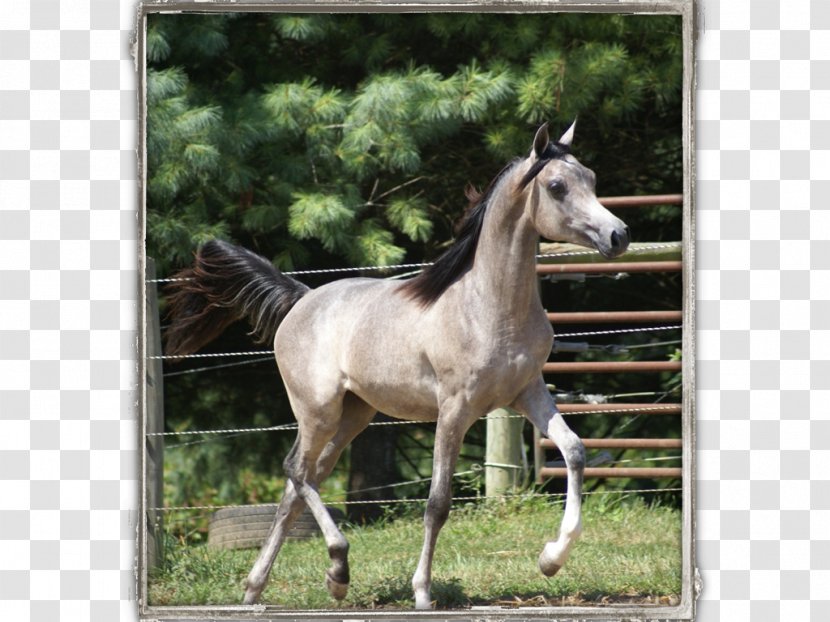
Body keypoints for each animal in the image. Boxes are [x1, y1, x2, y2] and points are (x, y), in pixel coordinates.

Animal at [162, 122, 632, 608]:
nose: (619, 235)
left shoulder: (528, 392)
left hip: (354, 414)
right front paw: (422, 591)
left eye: (592, 178)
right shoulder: (455, 409)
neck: (488, 306)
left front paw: (551, 559)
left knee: (301, 483)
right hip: (317, 410)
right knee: (296, 471)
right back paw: (336, 568)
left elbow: (574, 451)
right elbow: (438, 502)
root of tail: (302, 297)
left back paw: (262, 587)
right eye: (557, 186)